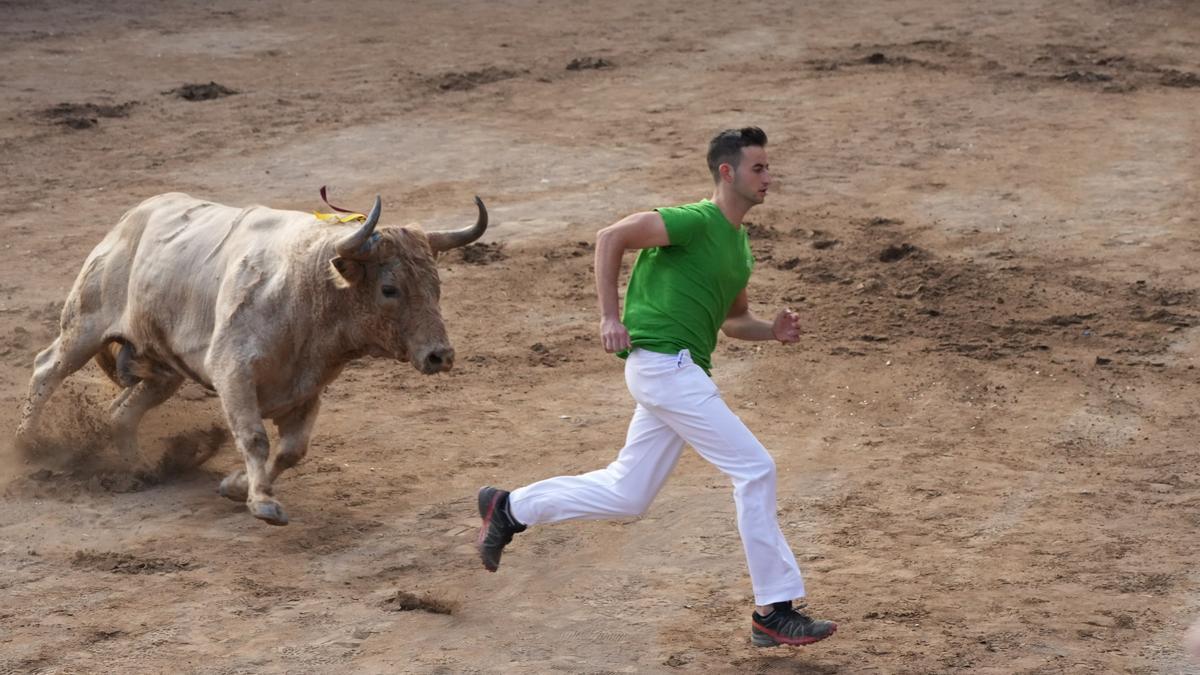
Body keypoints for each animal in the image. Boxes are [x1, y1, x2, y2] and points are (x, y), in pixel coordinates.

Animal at [12, 192, 482, 523]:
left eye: (436, 286)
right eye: (389, 288)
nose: (440, 355)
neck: (307, 287)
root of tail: (132, 218)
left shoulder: (307, 389)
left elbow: (291, 451)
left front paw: (238, 487)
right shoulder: (232, 372)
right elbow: (255, 437)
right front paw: (262, 504)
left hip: (165, 367)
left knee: (122, 411)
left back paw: (140, 468)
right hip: (85, 325)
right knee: (47, 369)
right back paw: (26, 447)